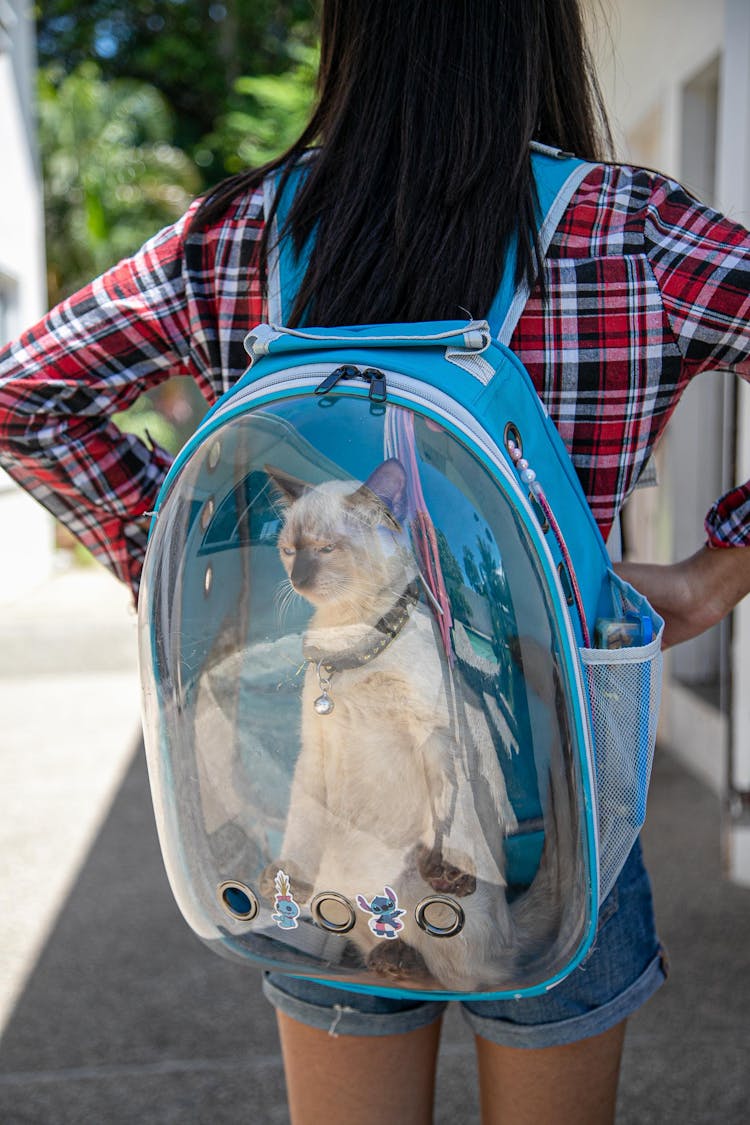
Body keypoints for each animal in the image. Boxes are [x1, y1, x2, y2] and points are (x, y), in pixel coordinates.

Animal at [263, 456, 575, 994]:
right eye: (288, 551)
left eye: (326, 549)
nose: (299, 577)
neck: (349, 643)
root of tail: (511, 929)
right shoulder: (314, 752)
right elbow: (300, 827)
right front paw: (287, 878)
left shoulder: (437, 734)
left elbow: (449, 810)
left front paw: (448, 868)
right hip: (345, 887)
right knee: (387, 944)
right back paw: (390, 959)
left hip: (429, 897)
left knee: (469, 979)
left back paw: (414, 952)